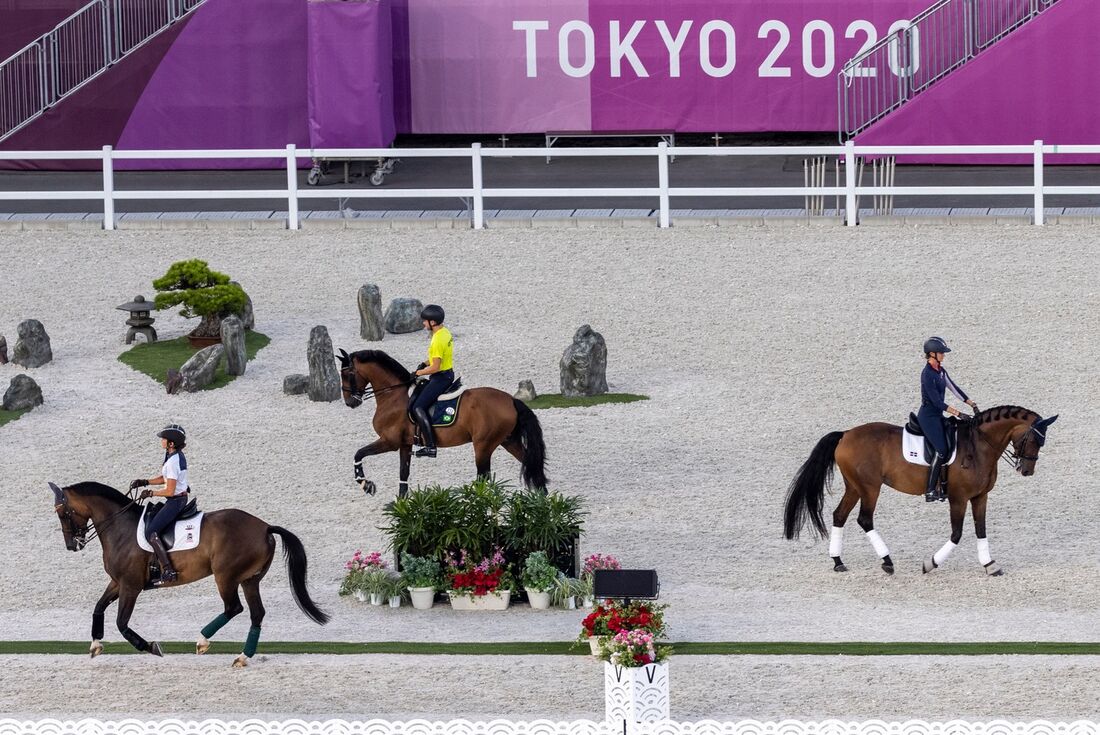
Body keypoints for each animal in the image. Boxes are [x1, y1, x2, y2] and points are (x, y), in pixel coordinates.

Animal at [51, 479, 325, 664]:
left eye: (63, 512)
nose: (72, 545)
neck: (120, 526)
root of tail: (265, 527)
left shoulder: (131, 585)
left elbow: (122, 623)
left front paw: (151, 647)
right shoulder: (118, 582)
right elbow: (99, 607)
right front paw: (95, 644)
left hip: (226, 576)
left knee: (233, 607)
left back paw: (202, 641)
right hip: (249, 580)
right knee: (256, 613)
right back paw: (242, 657)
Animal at [332, 347, 543, 497]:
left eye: (346, 374)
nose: (350, 402)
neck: (393, 396)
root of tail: (510, 400)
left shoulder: (389, 442)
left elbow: (359, 454)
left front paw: (366, 484)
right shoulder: (405, 444)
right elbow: (403, 474)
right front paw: (402, 507)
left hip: (483, 446)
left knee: (484, 478)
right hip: (508, 441)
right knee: (532, 466)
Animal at [783, 407, 1056, 572]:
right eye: (1034, 439)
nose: (1027, 470)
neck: (980, 446)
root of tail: (846, 434)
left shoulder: (980, 496)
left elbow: (981, 530)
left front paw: (990, 564)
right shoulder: (958, 498)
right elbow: (957, 534)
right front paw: (930, 564)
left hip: (855, 487)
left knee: (839, 515)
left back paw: (838, 561)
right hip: (870, 488)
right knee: (864, 519)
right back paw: (887, 562)